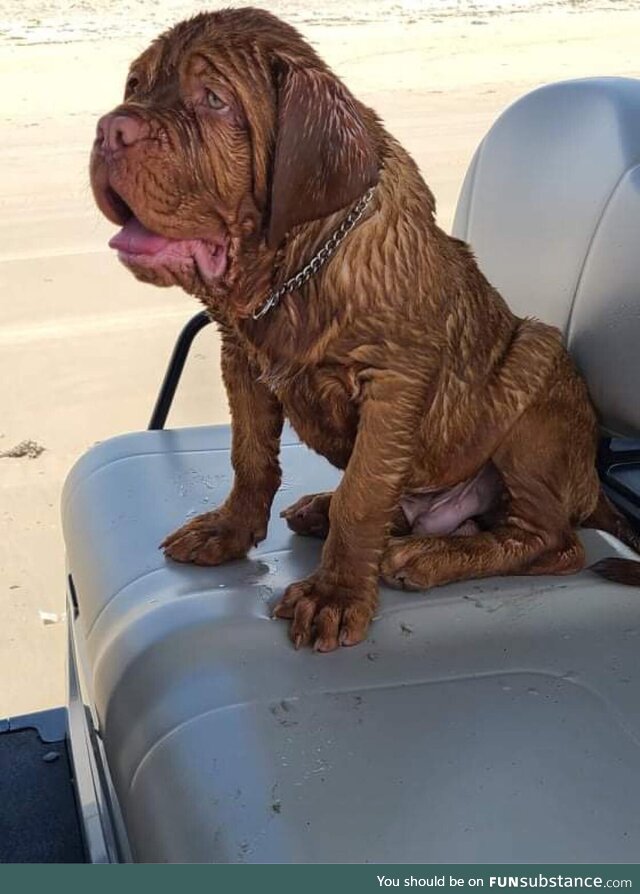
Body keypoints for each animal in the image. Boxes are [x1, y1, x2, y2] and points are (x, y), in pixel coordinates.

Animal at [90, 5, 640, 652]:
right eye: (133, 87)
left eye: (215, 101)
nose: (109, 130)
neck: (296, 270)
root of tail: (593, 486)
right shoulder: (241, 358)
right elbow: (251, 458)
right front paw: (228, 530)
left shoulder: (393, 383)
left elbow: (365, 490)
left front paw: (334, 596)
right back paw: (329, 511)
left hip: (535, 370)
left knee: (556, 543)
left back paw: (427, 555)